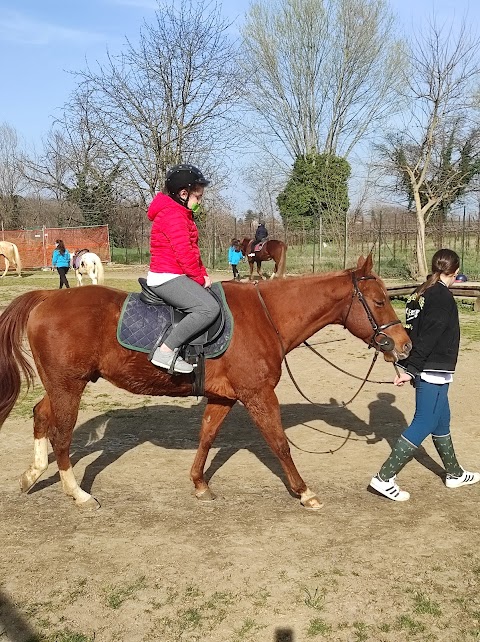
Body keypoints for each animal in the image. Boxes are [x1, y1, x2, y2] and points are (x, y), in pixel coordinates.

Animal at [0, 255, 412, 510]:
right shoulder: (258, 395)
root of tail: (47, 298)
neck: (265, 315)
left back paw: (32, 475)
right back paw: (78, 494)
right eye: (378, 301)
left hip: (60, 387)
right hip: (69, 387)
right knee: (62, 435)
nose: (404, 345)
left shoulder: (224, 397)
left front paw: (200, 484)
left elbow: (207, 436)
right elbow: (279, 443)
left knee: (40, 414)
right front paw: (305, 492)